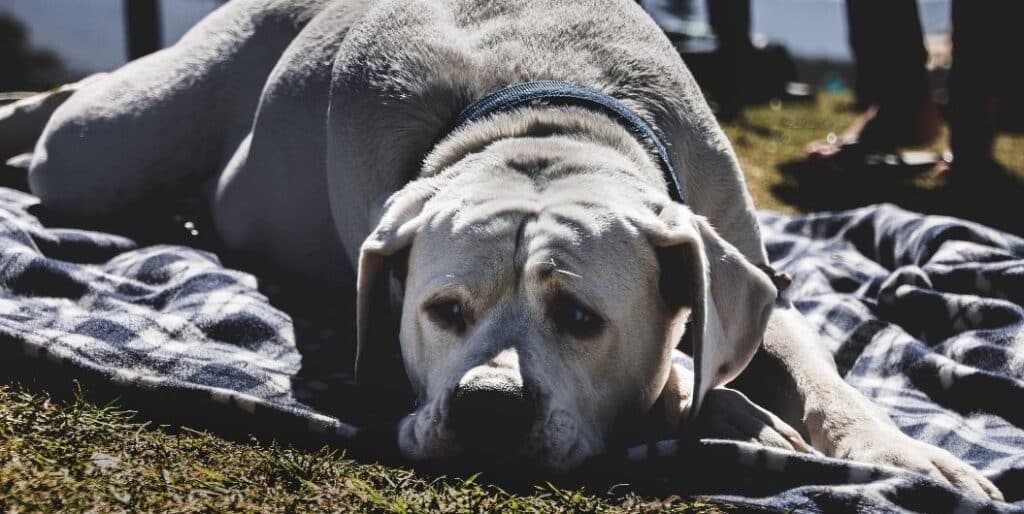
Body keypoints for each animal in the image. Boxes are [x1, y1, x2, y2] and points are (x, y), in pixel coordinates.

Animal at [0, 0, 999, 499]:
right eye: (442, 312)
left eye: (582, 318)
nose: (484, 407)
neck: (544, 126)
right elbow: (697, 389)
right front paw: (737, 417)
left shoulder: (746, 273)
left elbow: (817, 376)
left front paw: (907, 456)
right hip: (109, 150)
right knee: (70, 111)